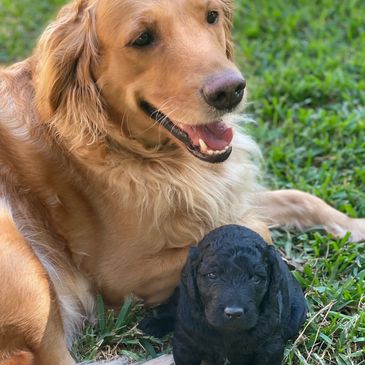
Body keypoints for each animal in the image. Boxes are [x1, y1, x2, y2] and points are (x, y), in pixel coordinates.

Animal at [0, 0, 364, 364]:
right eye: (142, 38)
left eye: (212, 16)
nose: (230, 91)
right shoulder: (119, 276)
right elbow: (251, 233)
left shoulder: (223, 196)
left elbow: (298, 197)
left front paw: (353, 226)